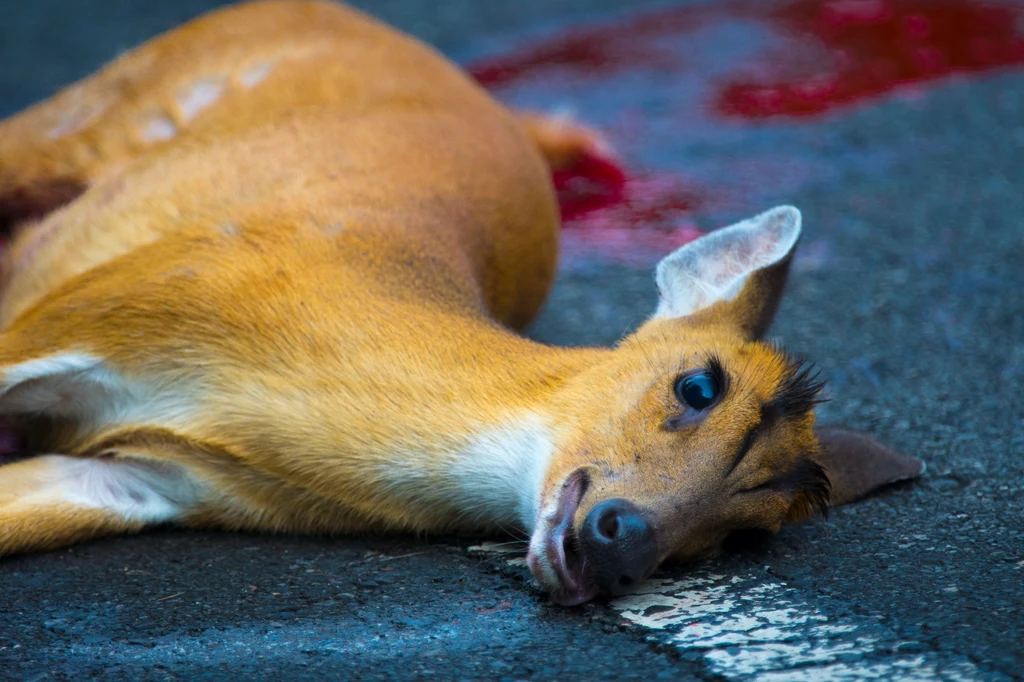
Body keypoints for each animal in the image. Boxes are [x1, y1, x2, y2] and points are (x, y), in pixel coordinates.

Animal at [0, 0, 925, 606]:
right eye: (699, 385)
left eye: (747, 534)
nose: (626, 544)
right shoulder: (101, 306)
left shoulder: (153, 481)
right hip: (85, 113)